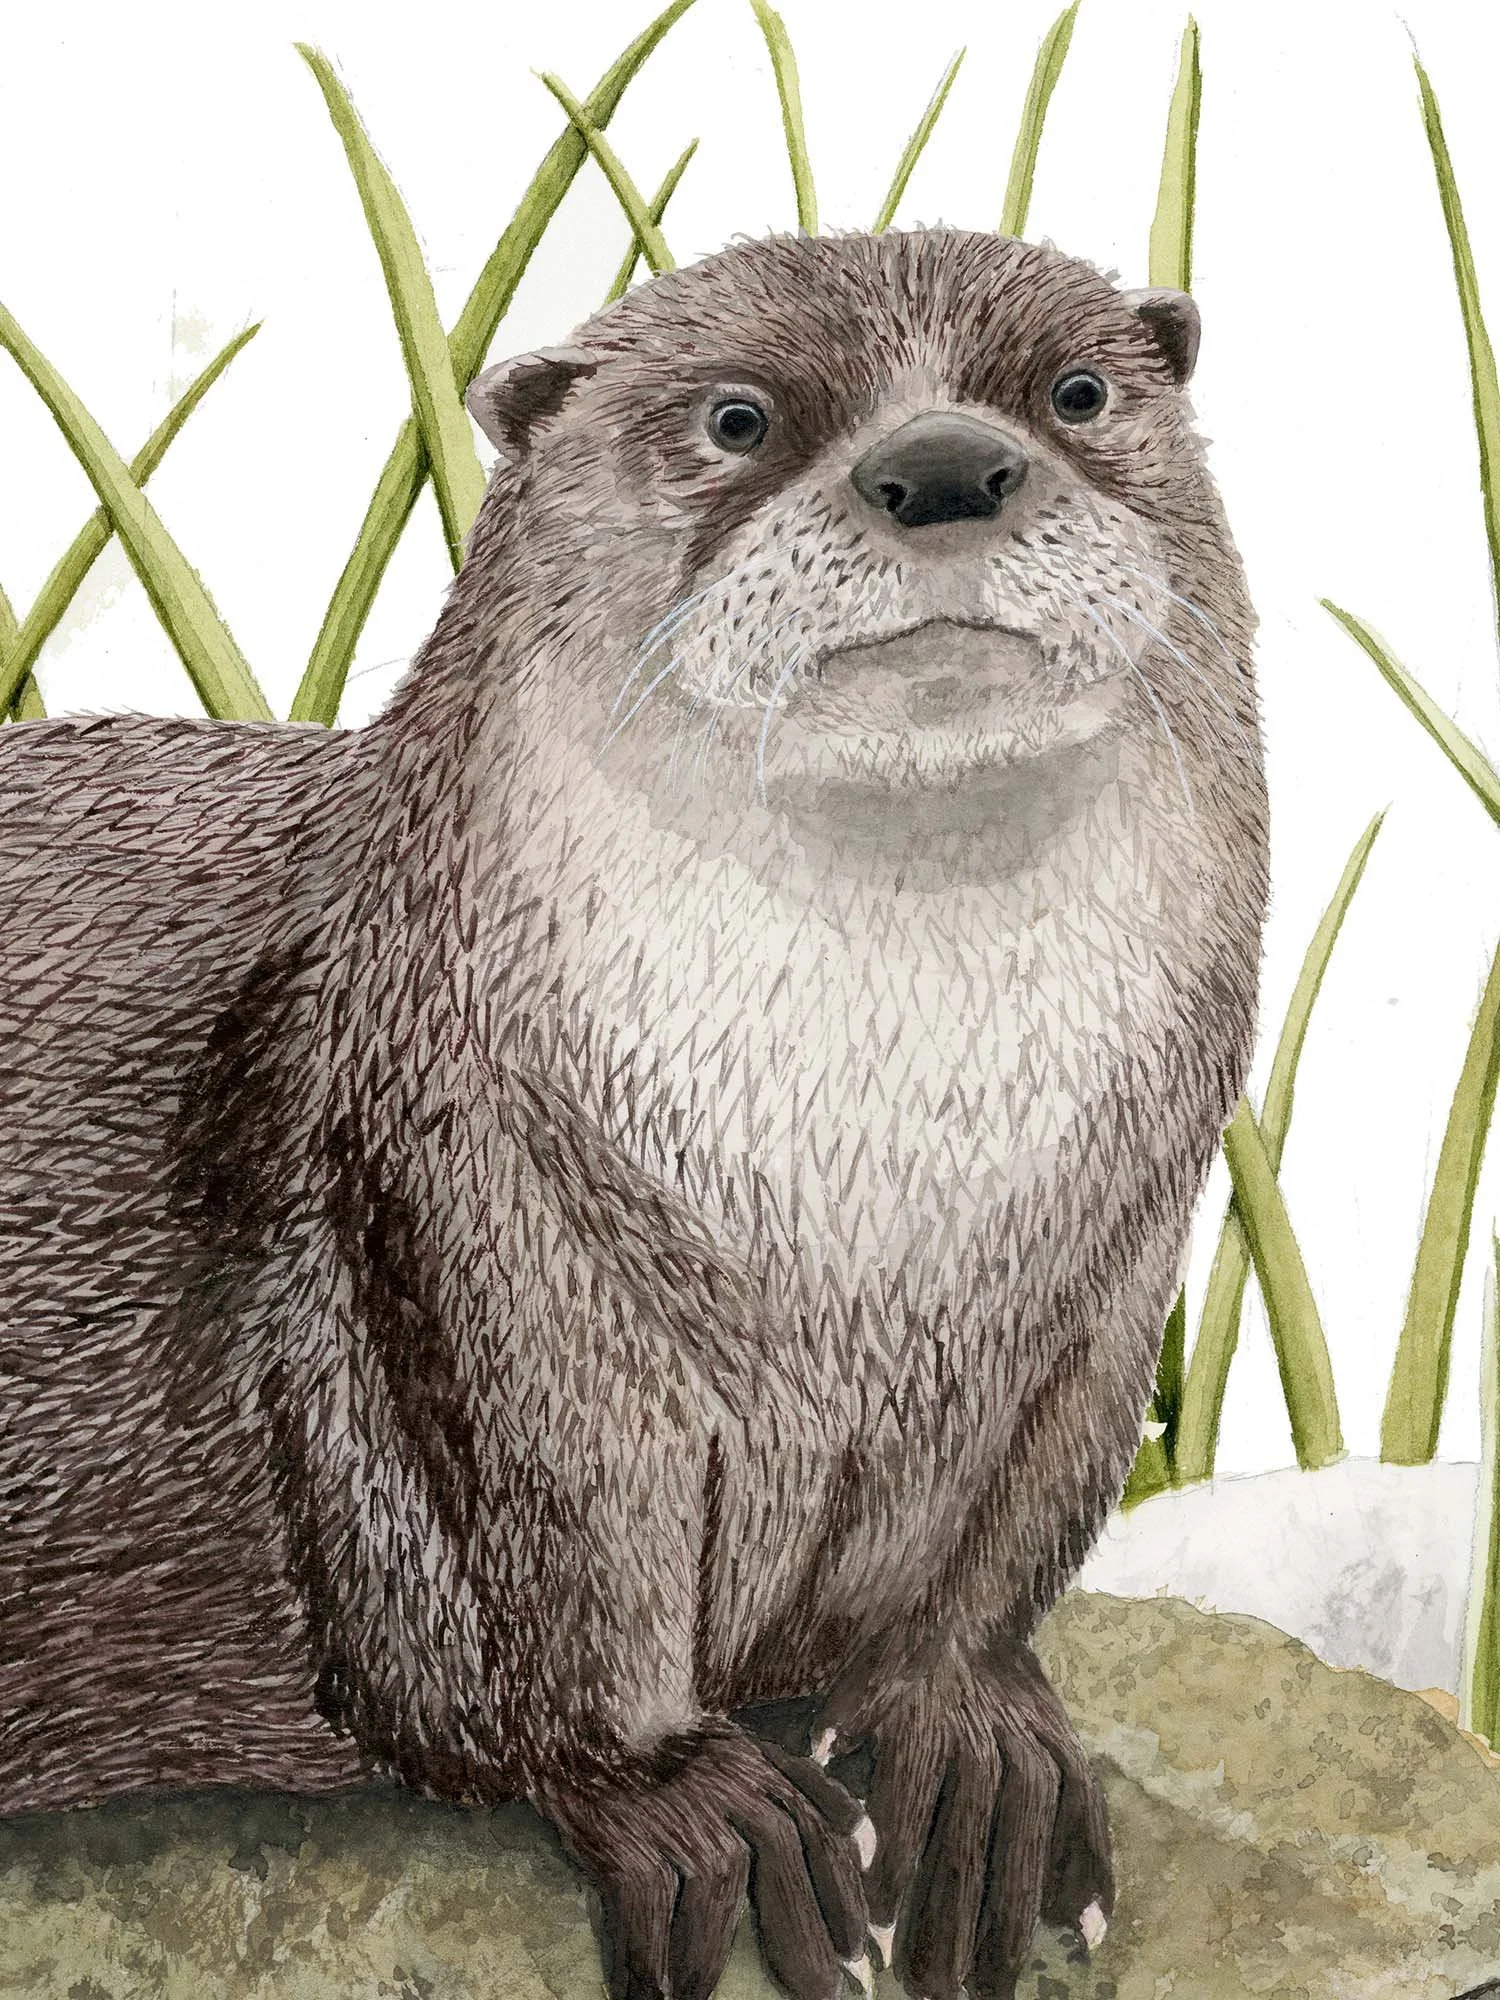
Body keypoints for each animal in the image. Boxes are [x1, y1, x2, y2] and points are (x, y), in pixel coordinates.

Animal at [0, 229, 1267, 2000]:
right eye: (737, 418)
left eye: (1075, 391)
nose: (946, 464)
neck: (873, 1197)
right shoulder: (459, 1252)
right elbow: (545, 1595)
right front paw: (688, 1798)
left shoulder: (1103, 1278)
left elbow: (1006, 1546)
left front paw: (973, 1751)